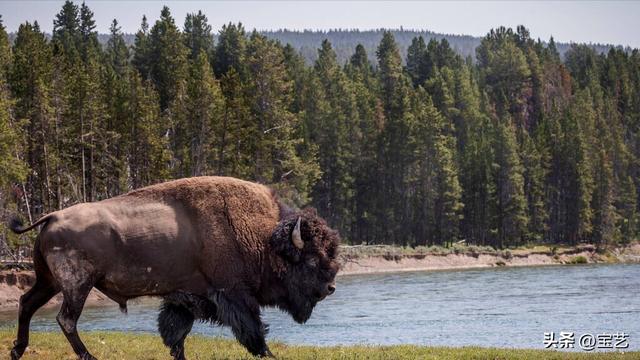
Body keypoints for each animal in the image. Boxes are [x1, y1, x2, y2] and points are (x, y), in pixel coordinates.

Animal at [8, 176, 340, 358]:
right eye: (312, 259)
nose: (330, 288)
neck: (262, 236)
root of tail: (52, 216)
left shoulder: (185, 299)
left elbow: (175, 335)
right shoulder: (234, 295)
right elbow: (253, 332)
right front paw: (267, 353)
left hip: (48, 281)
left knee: (27, 303)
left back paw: (17, 350)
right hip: (77, 285)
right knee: (66, 319)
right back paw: (88, 357)